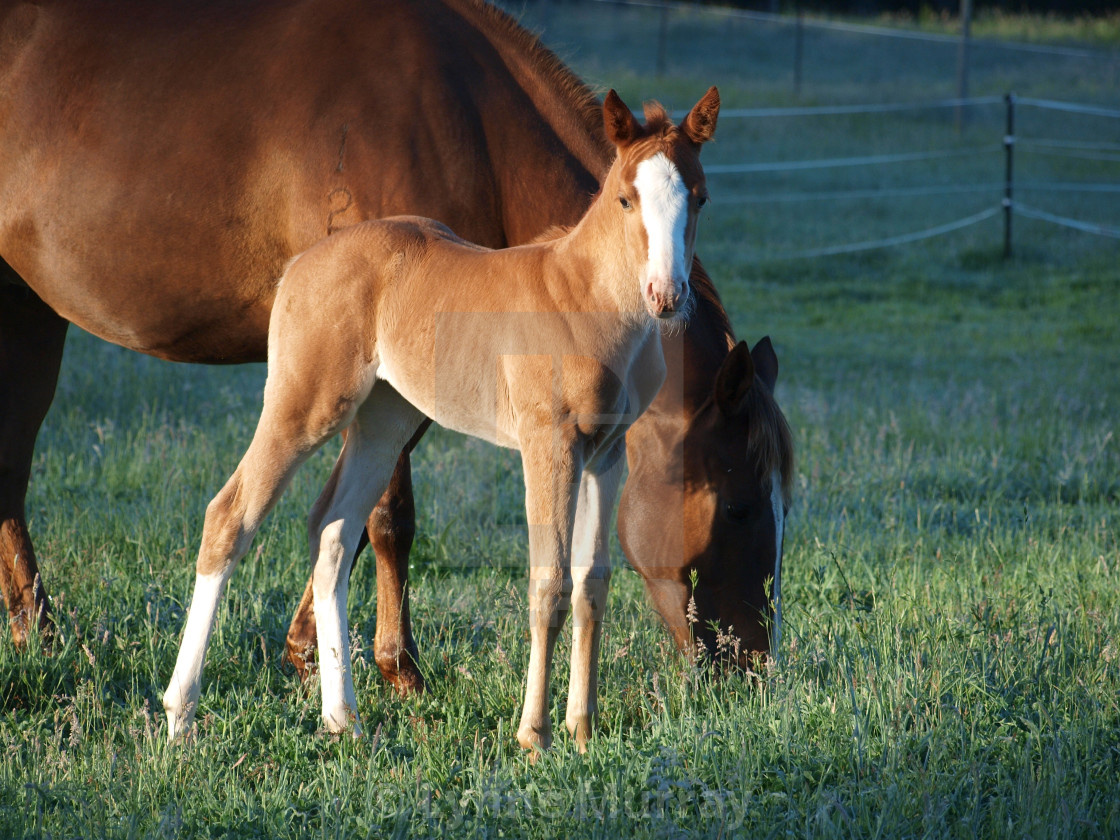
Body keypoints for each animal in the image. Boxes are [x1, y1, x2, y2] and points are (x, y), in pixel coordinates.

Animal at [164, 89, 721, 752]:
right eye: (625, 198)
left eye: (700, 197)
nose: (667, 296)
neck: (586, 298)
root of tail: (299, 263)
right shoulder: (549, 443)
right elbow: (550, 584)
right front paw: (534, 736)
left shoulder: (606, 452)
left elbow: (592, 585)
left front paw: (582, 731)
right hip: (306, 405)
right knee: (230, 517)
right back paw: (180, 715)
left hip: (384, 421)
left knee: (333, 533)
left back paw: (343, 718)